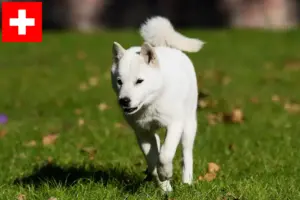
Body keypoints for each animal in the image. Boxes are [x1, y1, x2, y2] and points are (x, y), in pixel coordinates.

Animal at [110, 16, 204, 192]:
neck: (151, 103)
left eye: (139, 81)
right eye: (119, 82)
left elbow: (165, 154)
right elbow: (153, 157)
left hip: (189, 124)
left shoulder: (175, 124)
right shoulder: (142, 131)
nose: (124, 100)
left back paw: (187, 181)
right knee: (157, 145)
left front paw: (165, 173)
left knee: (186, 153)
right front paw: (164, 185)